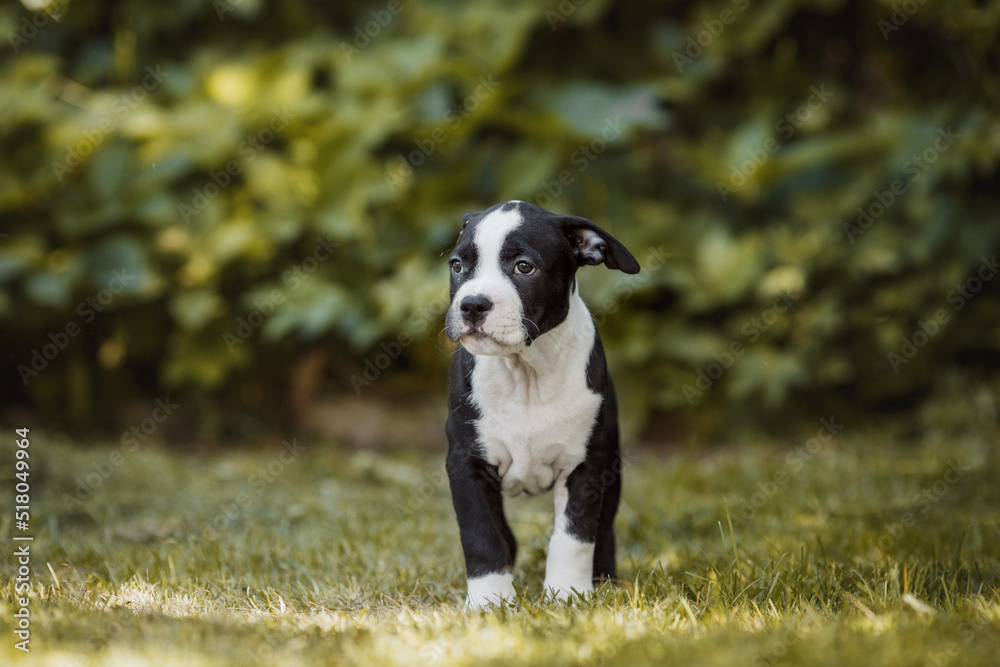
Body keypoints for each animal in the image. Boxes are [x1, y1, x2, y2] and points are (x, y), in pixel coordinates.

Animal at [446, 200, 640, 612]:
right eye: (457, 266)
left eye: (524, 267)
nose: (472, 304)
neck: (526, 373)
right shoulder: (466, 463)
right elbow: (482, 534)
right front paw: (489, 600)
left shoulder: (586, 465)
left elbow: (574, 536)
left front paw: (567, 595)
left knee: (603, 528)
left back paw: (605, 580)